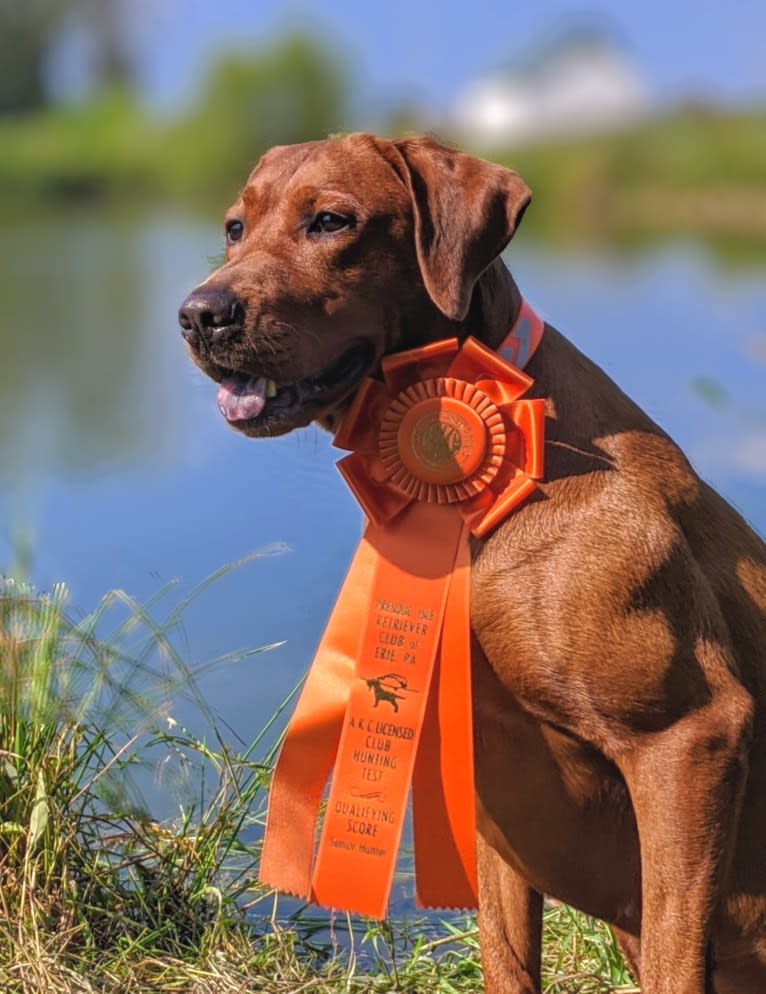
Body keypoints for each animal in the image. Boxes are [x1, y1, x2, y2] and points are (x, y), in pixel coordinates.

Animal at [178, 134, 766, 992]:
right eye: (234, 227)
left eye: (330, 221)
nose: (199, 315)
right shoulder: (493, 790)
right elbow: (506, 957)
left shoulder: (690, 738)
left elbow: (672, 958)